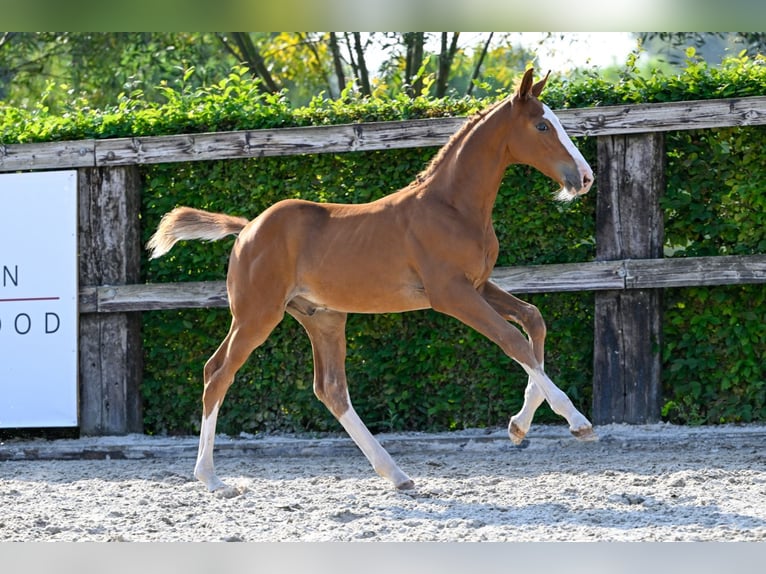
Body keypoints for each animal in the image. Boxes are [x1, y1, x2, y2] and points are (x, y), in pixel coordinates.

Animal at [147, 68, 596, 496]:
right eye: (542, 125)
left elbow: (533, 319)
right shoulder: (450, 294)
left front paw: (519, 425)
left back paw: (397, 475)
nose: (585, 177)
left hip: (323, 317)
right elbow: (512, 339)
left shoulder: (479, 285)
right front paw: (576, 420)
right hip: (257, 314)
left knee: (330, 389)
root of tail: (246, 230)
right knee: (217, 372)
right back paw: (211, 479)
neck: (451, 207)